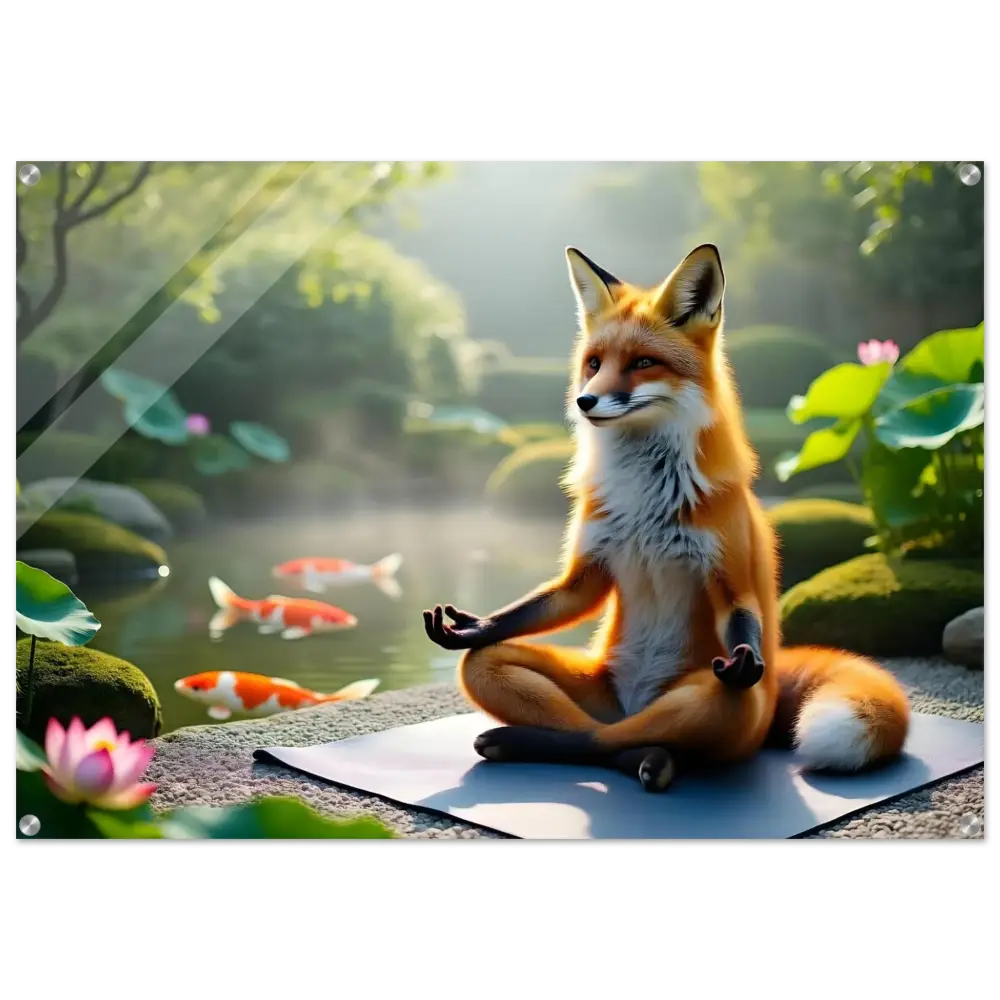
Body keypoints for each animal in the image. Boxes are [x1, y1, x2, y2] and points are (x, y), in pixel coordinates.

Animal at [423, 242, 911, 793]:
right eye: (594, 363)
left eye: (642, 363)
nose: (585, 400)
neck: (646, 501)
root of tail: (635, 701)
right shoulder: (588, 569)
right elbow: (535, 609)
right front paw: (477, 625)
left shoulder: (730, 575)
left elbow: (740, 613)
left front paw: (744, 657)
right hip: (573, 684)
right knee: (544, 700)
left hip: (723, 697)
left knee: (621, 735)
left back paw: (642, 756)